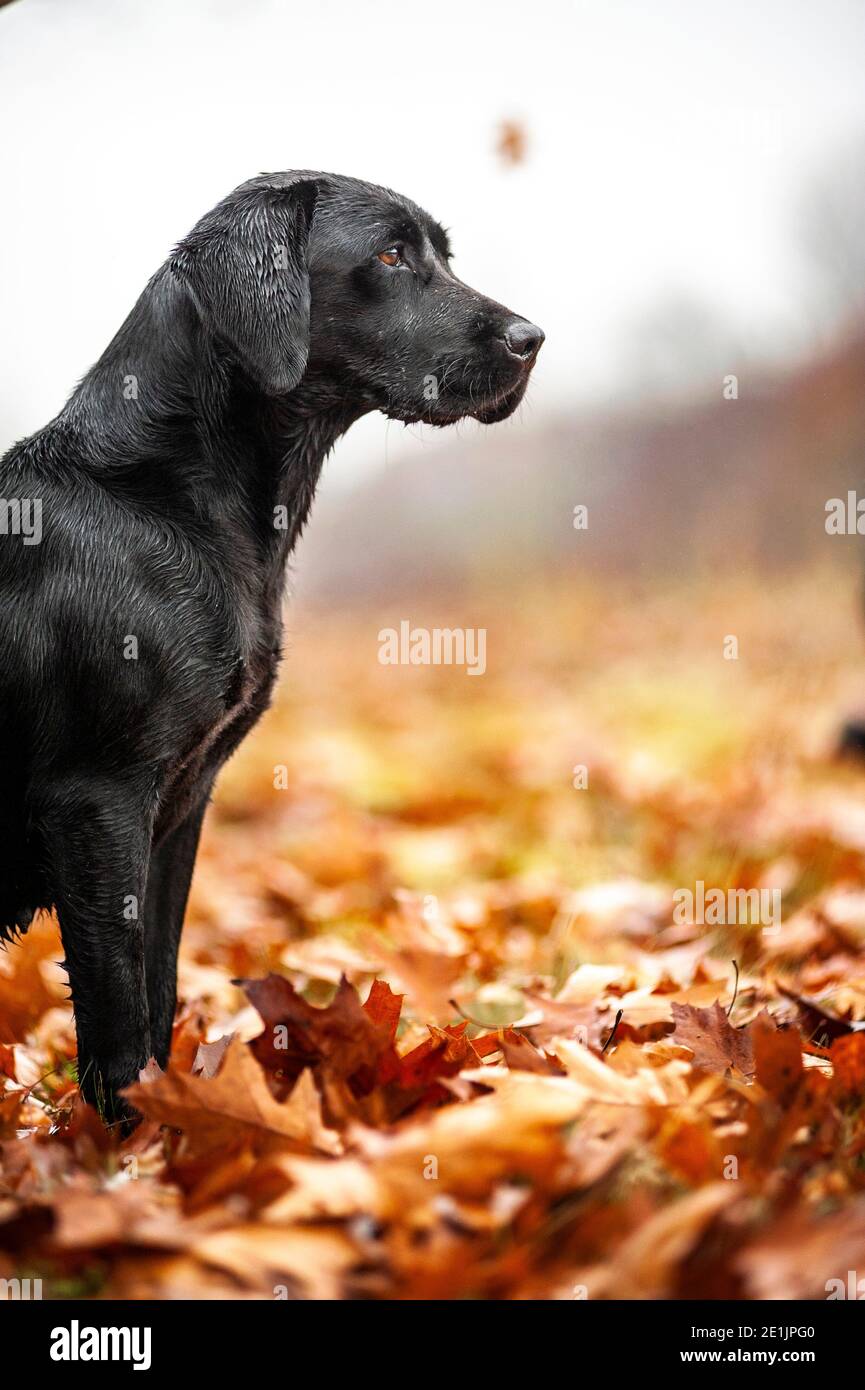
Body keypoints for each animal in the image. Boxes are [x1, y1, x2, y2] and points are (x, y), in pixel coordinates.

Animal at [0, 170, 542, 1117]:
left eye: (441, 253)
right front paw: (128, 1143)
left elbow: (158, 990)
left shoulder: (178, 808)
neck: (162, 495)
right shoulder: (96, 801)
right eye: (390, 255)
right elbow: (116, 1015)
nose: (532, 340)